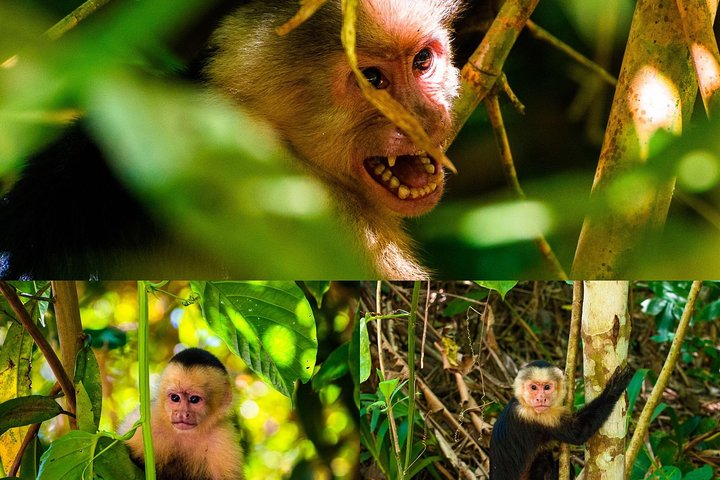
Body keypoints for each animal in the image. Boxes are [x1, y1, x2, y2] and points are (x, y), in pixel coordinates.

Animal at [126, 348, 244, 480]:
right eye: (175, 398)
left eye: (194, 399)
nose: (182, 413)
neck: (185, 435)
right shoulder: (149, 423)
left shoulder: (223, 439)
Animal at [489, 361, 635, 480]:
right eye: (533, 387)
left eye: (547, 387)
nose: (541, 399)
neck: (523, 403)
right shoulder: (534, 416)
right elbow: (578, 433)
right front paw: (613, 388)